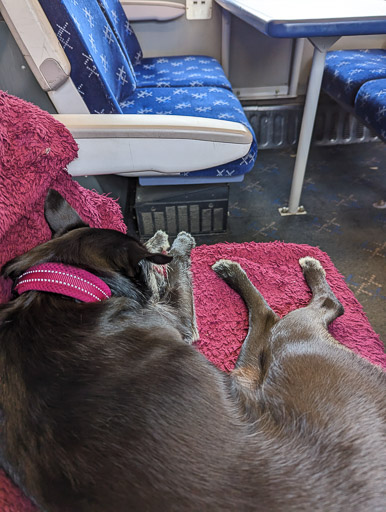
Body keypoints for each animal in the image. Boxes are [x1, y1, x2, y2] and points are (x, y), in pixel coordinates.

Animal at [0, 190, 384, 510]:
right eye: (142, 267)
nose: (161, 244)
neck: (61, 287)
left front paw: (161, 239)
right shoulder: (181, 321)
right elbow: (174, 271)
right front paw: (176, 243)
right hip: (289, 343)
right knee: (301, 311)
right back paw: (251, 269)